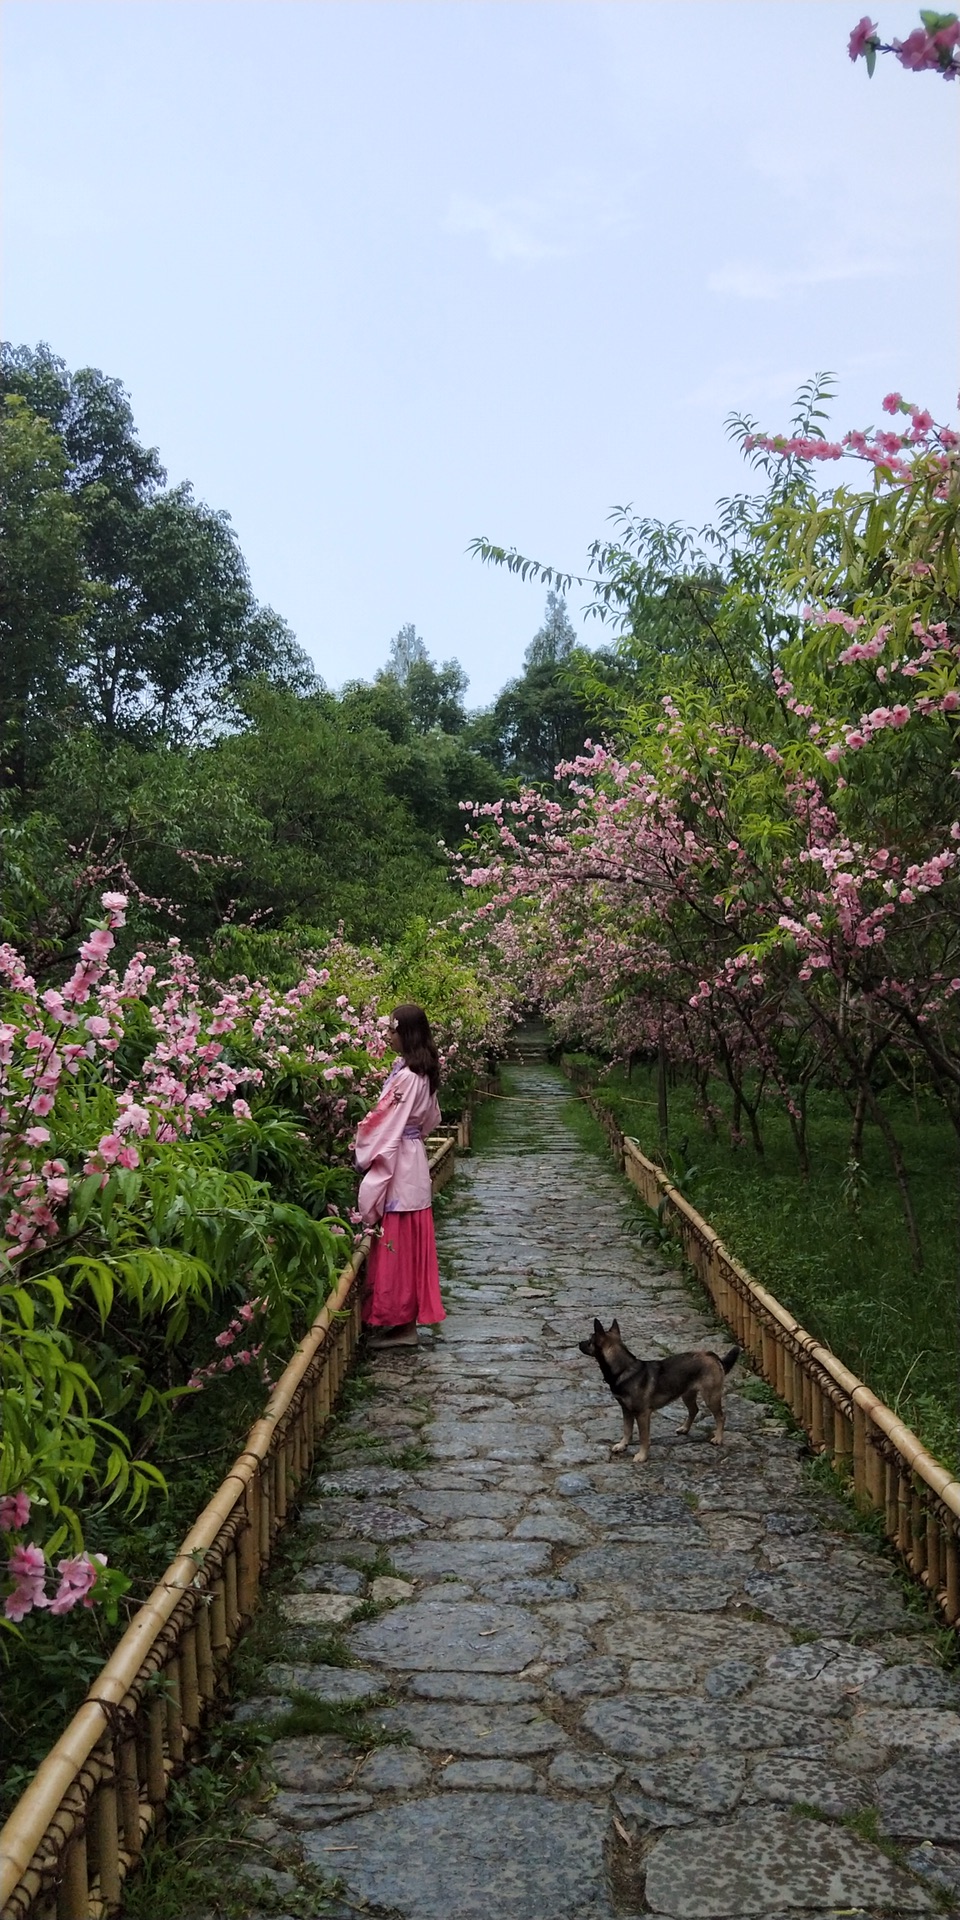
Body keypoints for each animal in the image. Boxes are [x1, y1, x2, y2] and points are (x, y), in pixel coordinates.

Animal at [576, 1320, 741, 1466]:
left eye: (590, 1340)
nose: (578, 1343)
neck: (623, 1369)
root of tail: (712, 1355)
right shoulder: (626, 1411)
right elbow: (627, 1430)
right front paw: (623, 1445)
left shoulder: (642, 1415)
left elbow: (643, 1437)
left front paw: (642, 1456)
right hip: (687, 1394)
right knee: (694, 1410)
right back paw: (685, 1428)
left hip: (710, 1397)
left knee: (720, 1416)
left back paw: (718, 1438)